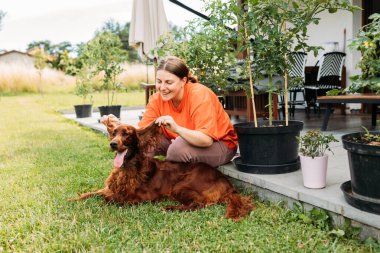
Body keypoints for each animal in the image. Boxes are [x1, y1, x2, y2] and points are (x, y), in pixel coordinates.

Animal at [71, 114, 255, 219]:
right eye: (114, 132)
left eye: (127, 134)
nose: (113, 144)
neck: (128, 167)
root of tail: (227, 183)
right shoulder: (110, 188)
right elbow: (91, 193)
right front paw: (73, 199)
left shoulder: (139, 197)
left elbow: (111, 199)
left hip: (182, 186)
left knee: (197, 204)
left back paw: (169, 208)